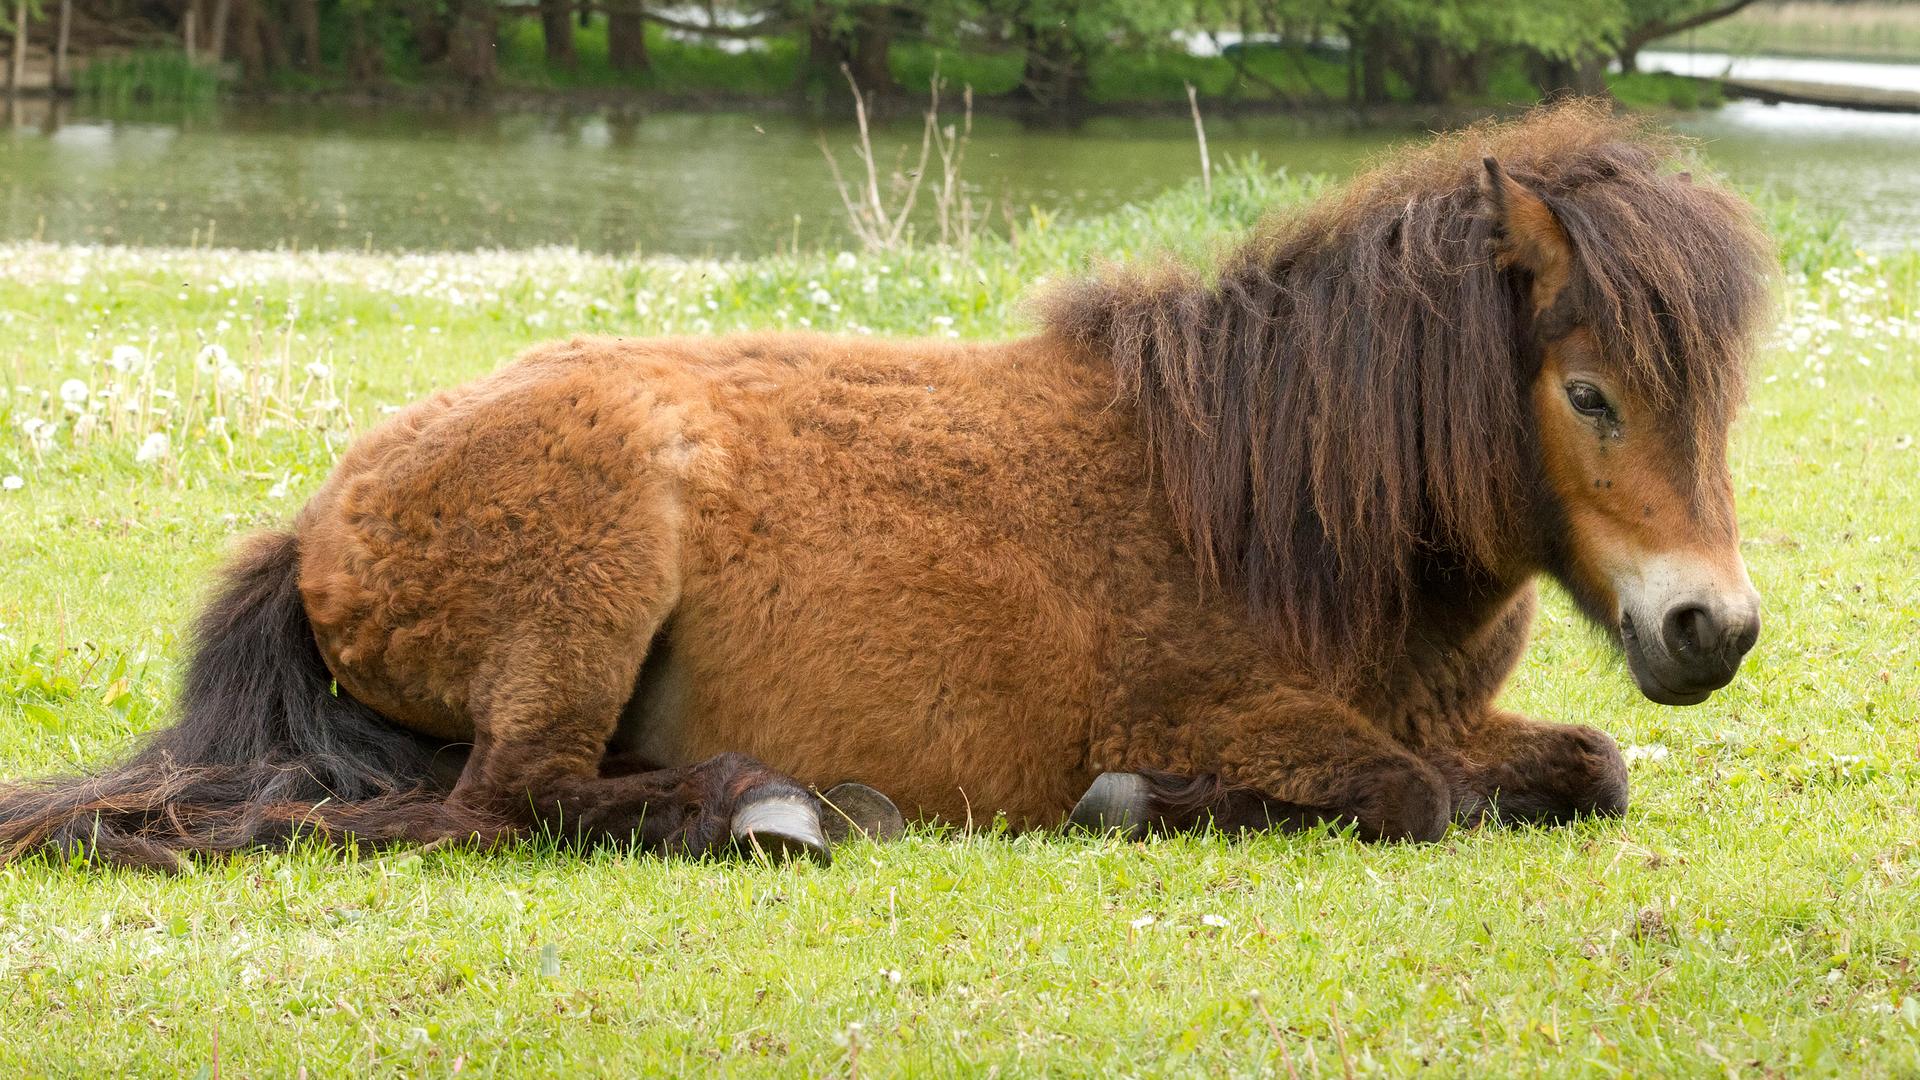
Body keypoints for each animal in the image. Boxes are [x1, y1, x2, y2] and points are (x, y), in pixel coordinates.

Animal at [0, 101, 1773, 871]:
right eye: (1592, 395)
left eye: (1719, 401)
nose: (1713, 628)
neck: (1277, 507)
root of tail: (321, 521)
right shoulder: (1217, 712)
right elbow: (1403, 796)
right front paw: (1129, 806)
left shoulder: (1458, 718)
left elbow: (1592, 766)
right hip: (586, 596)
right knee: (508, 804)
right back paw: (769, 808)